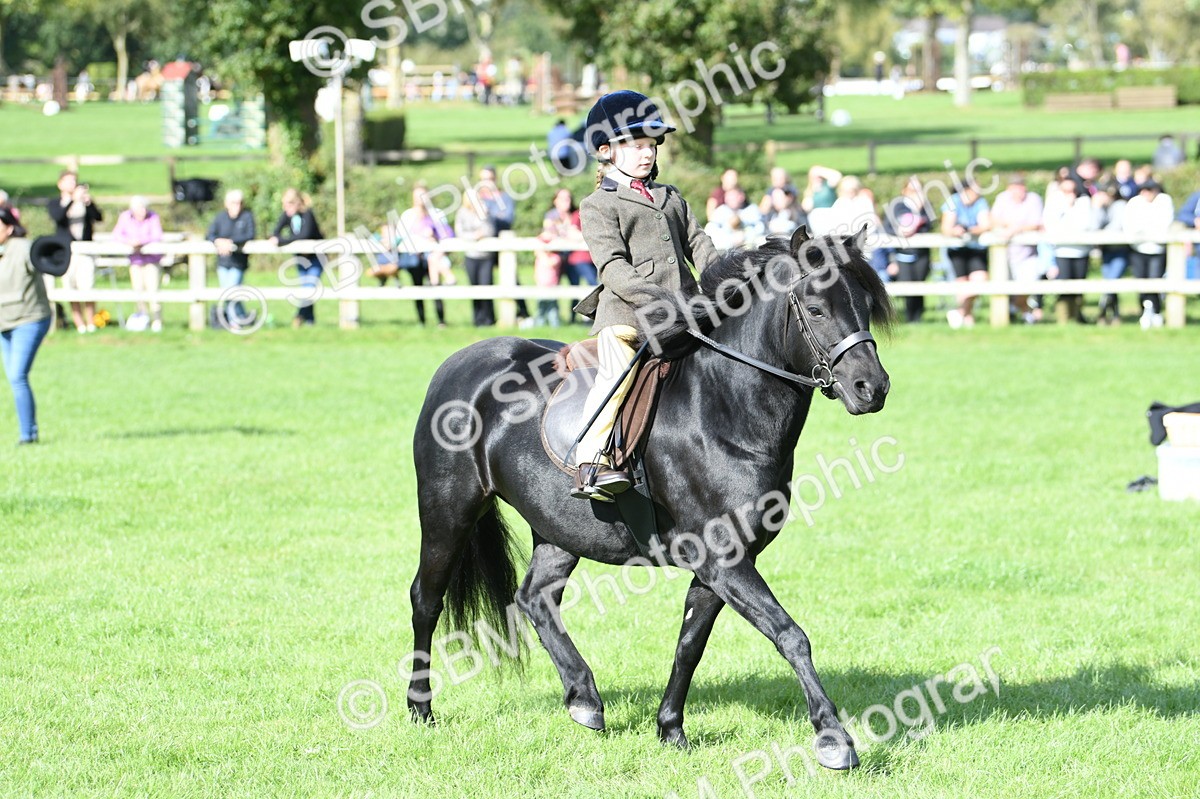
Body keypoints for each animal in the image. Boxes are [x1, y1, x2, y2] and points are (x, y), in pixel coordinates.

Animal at [408, 225, 894, 770]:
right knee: (426, 600)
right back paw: (421, 710)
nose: (872, 388)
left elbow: (689, 645)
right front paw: (834, 739)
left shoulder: (721, 565)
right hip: (447, 512)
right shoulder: (725, 560)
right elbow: (790, 635)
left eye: (865, 305)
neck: (722, 408)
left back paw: (584, 699)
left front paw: (670, 728)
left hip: (560, 530)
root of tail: (457, 365)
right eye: (815, 308)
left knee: (535, 598)